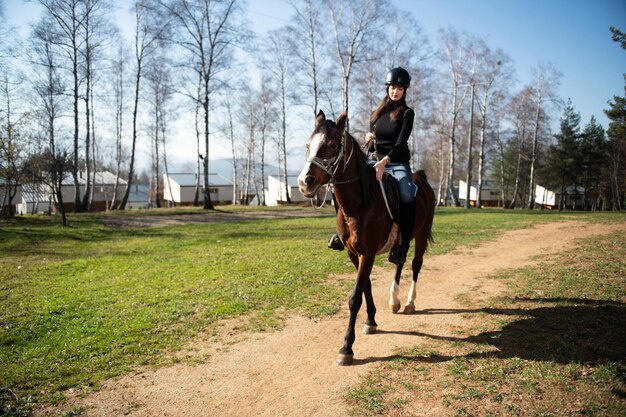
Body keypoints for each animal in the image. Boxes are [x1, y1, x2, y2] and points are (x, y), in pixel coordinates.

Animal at [298, 109, 434, 364]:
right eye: (308, 145)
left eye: (332, 145)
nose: (304, 182)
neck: (360, 204)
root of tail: (421, 178)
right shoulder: (354, 253)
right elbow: (366, 287)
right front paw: (371, 321)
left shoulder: (368, 253)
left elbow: (354, 298)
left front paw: (346, 348)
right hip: (401, 240)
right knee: (399, 261)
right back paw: (394, 301)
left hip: (421, 235)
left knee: (416, 265)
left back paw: (409, 303)